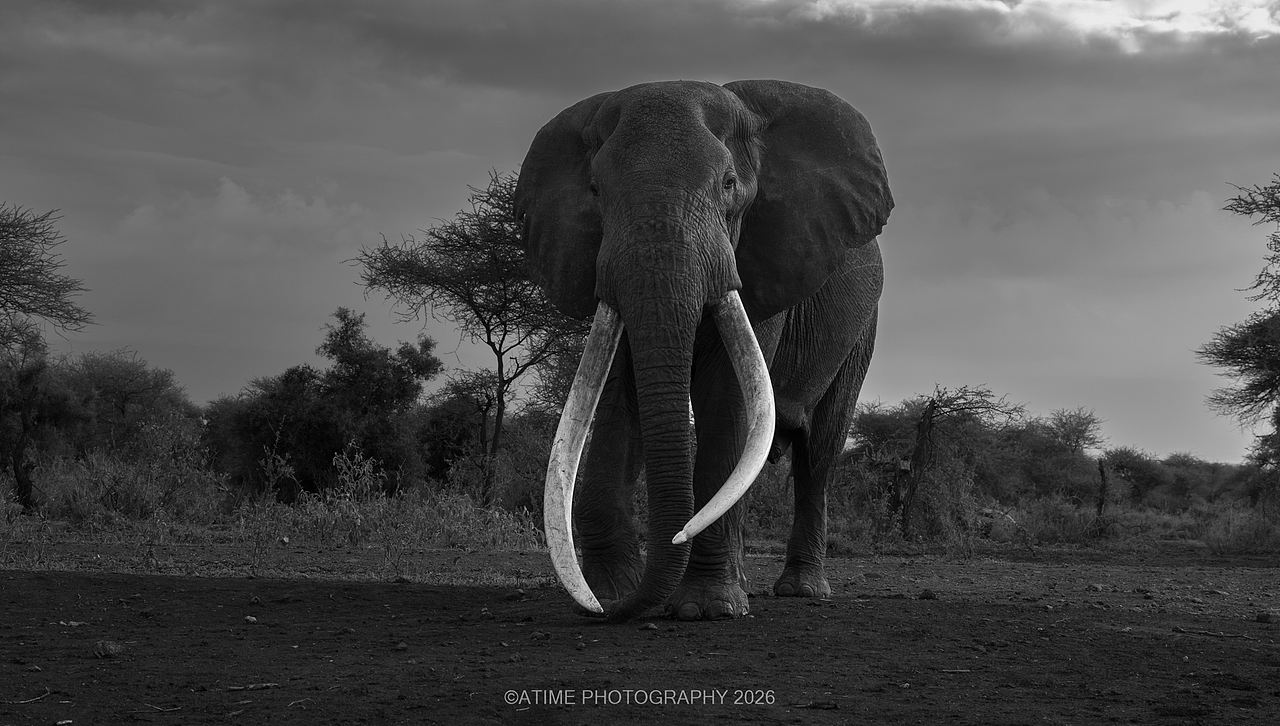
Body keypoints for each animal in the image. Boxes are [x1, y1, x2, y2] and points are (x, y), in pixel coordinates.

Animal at [514, 80, 892, 621]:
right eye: (596, 191)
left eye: (729, 184)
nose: (615, 610)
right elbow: (617, 388)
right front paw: (608, 592)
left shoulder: (758, 260)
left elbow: (727, 392)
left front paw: (707, 609)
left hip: (862, 332)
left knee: (819, 451)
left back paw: (803, 591)